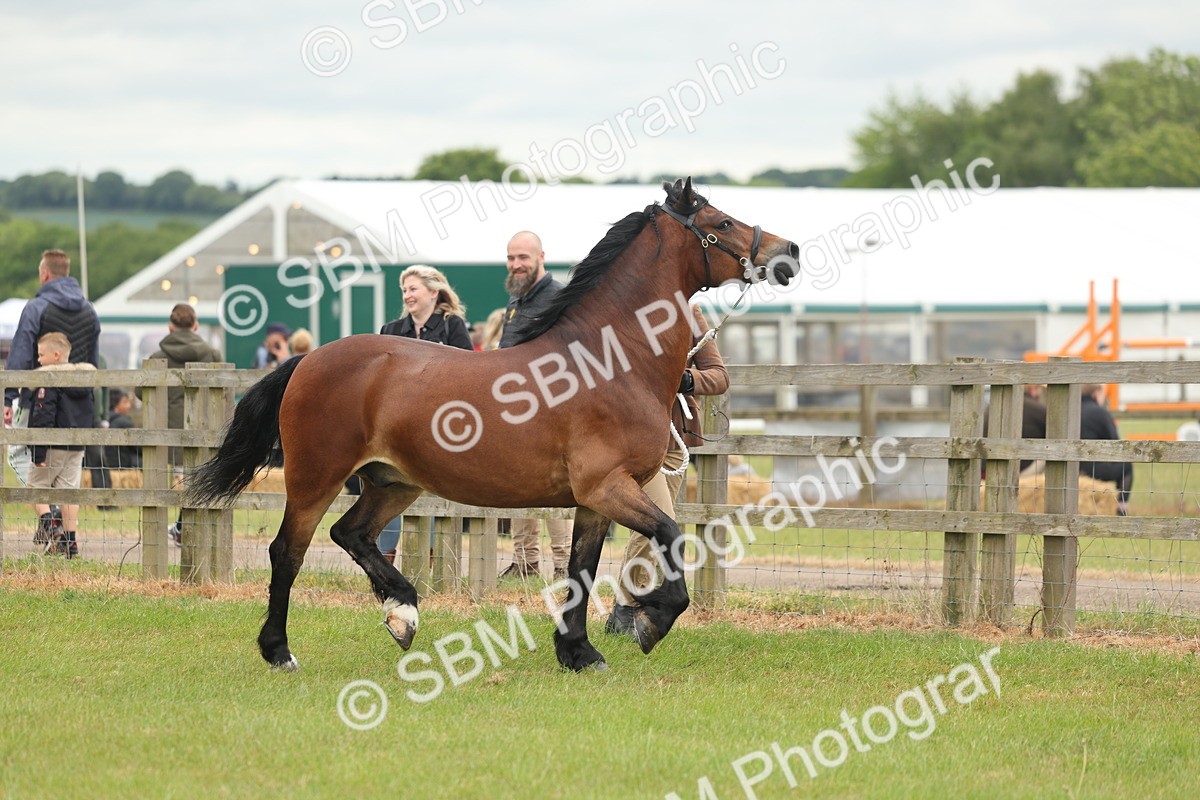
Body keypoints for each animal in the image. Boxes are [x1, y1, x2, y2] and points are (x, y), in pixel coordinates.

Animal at [188, 178, 798, 672]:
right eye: (722, 223)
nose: (787, 251)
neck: (610, 361)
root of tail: (308, 360)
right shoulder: (609, 487)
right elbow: (669, 537)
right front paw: (650, 624)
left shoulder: (594, 501)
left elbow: (580, 570)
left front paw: (579, 653)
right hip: (315, 477)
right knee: (288, 553)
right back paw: (280, 651)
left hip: (393, 482)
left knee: (352, 534)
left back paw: (403, 613)